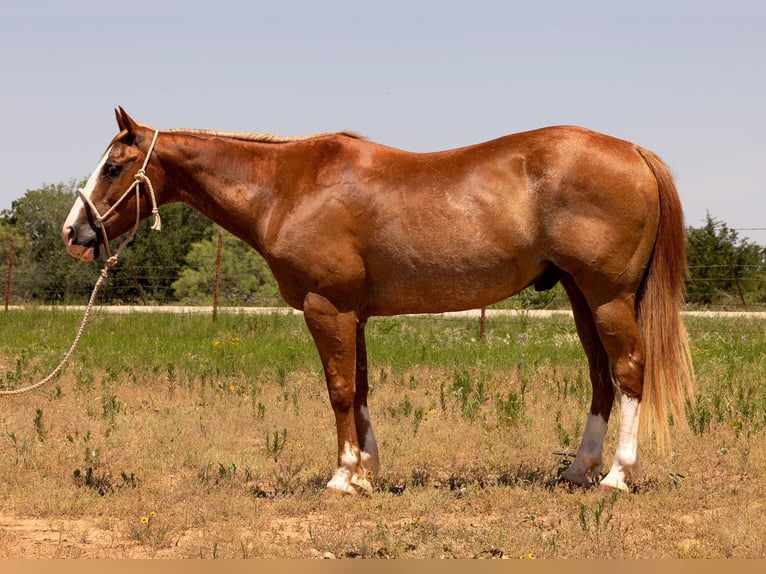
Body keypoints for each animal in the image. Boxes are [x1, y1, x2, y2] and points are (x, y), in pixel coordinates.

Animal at [64, 108, 696, 496]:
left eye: (114, 166)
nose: (75, 233)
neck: (286, 187)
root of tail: (632, 150)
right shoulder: (355, 315)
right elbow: (362, 389)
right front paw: (367, 471)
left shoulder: (327, 308)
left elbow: (339, 390)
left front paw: (343, 477)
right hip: (580, 295)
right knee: (600, 377)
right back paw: (578, 469)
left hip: (608, 296)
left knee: (629, 370)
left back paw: (616, 476)